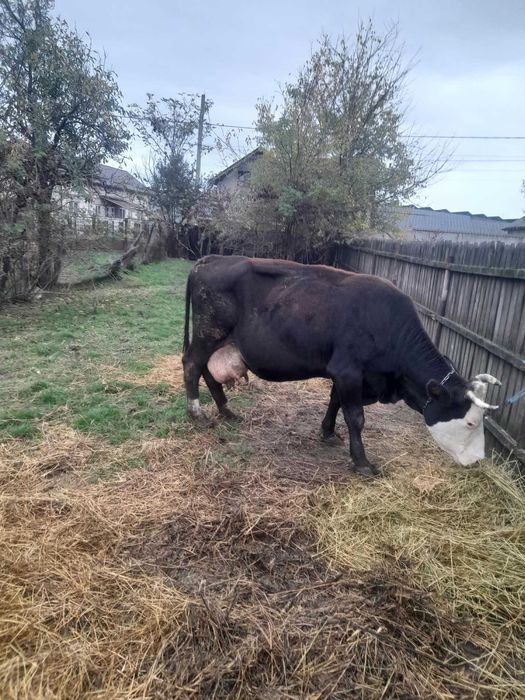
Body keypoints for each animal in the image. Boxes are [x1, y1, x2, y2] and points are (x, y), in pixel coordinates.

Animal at [182, 255, 501, 476]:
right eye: (471, 422)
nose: (478, 460)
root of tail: (211, 259)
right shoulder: (348, 371)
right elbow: (356, 417)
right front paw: (362, 463)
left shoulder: (350, 375)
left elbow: (335, 401)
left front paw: (327, 432)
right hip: (207, 333)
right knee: (192, 365)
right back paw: (198, 414)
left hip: (216, 339)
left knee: (207, 371)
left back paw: (226, 410)